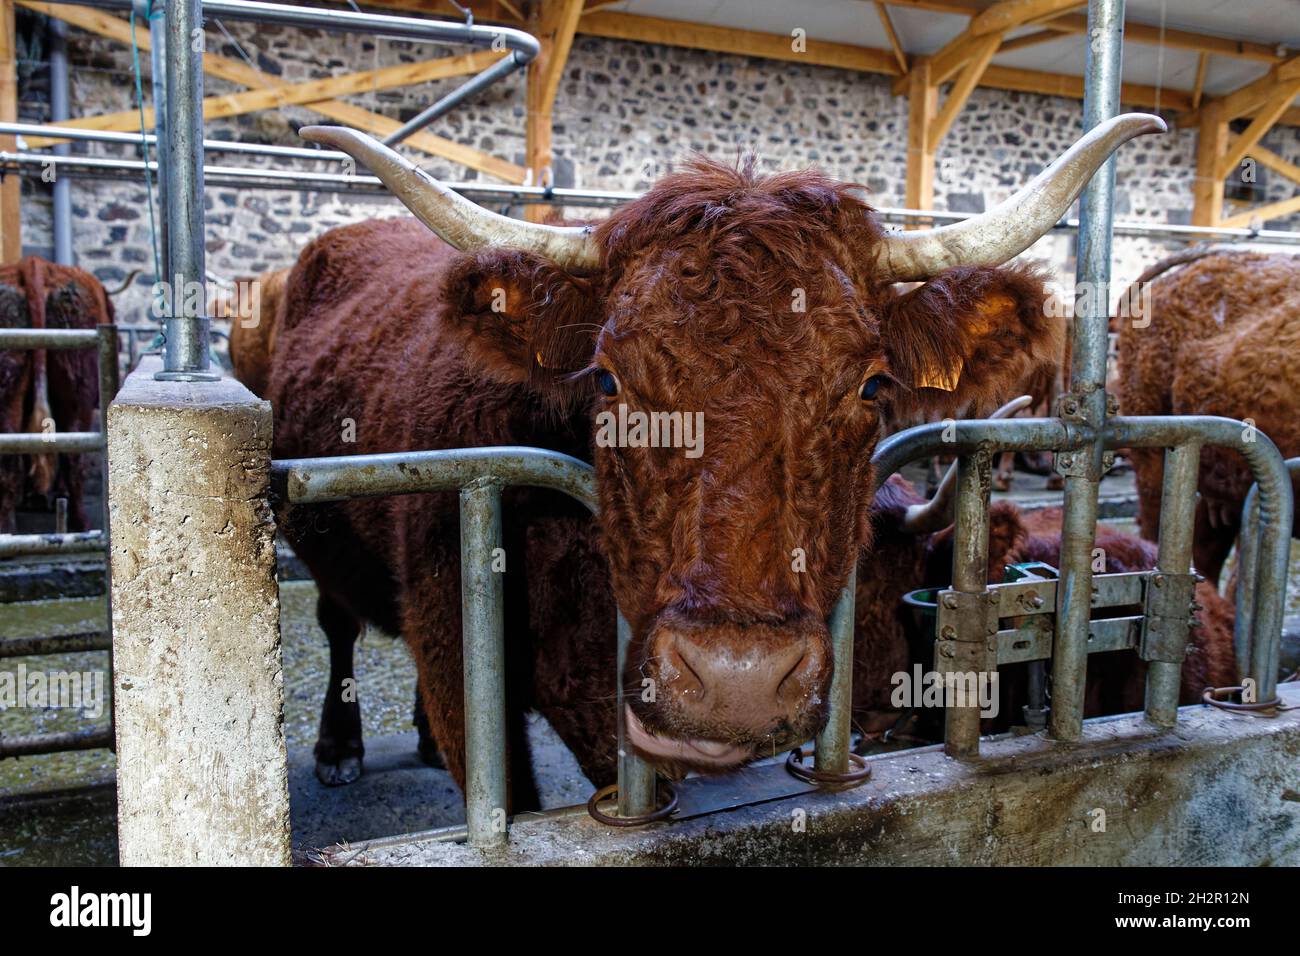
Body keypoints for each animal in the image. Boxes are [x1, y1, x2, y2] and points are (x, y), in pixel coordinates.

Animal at [256, 115, 1170, 796]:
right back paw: (338, 749)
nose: (738, 679)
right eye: (607, 377)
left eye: (872, 384)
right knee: (338, 623)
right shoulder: (463, 659)